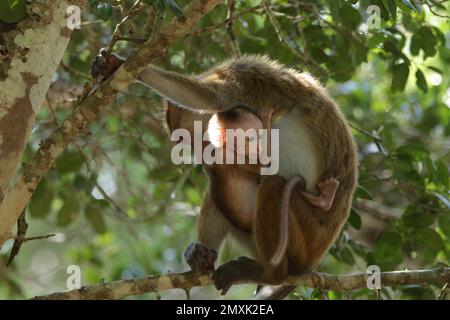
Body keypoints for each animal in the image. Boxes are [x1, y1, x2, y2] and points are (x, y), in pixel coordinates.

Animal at [92, 53, 358, 298]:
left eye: (187, 137)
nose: (201, 150)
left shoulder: (243, 80)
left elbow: (214, 98)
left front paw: (120, 64)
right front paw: (112, 65)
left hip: (306, 239)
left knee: (272, 186)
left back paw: (269, 273)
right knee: (222, 185)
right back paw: (201, 258)